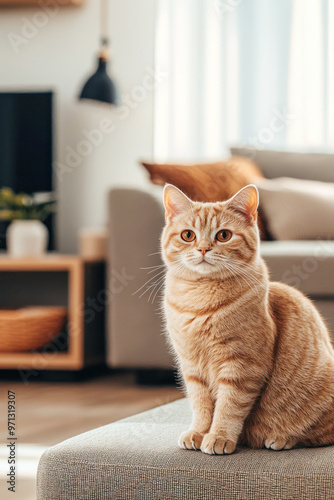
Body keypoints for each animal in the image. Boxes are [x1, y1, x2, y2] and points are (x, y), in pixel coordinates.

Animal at [161, 183, 334, 454]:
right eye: (188, 235)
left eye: (223, 235)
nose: (203, 249)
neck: (200, 300)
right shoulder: (191, 367)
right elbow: (201, 404)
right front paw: (199, 432)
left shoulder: (242, 366)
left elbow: (228, 407)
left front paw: (219, 436)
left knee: (318, 435)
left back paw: (281, 438)